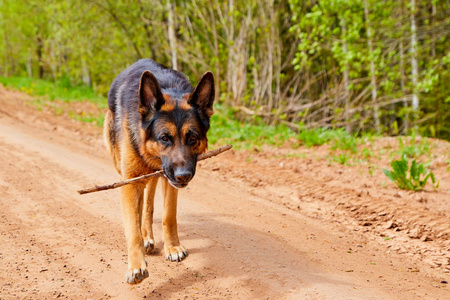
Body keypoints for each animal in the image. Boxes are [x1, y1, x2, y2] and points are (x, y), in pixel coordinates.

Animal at [103, 58, 214, 284]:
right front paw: (136, 265)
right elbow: (132, 226)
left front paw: (172, 247)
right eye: (164, 138)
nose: (183, 175)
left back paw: (148, 234)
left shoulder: (169, 180)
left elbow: (168, 216)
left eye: (192, 138)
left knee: (148, 203)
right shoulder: (130, 183)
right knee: (138, 208)